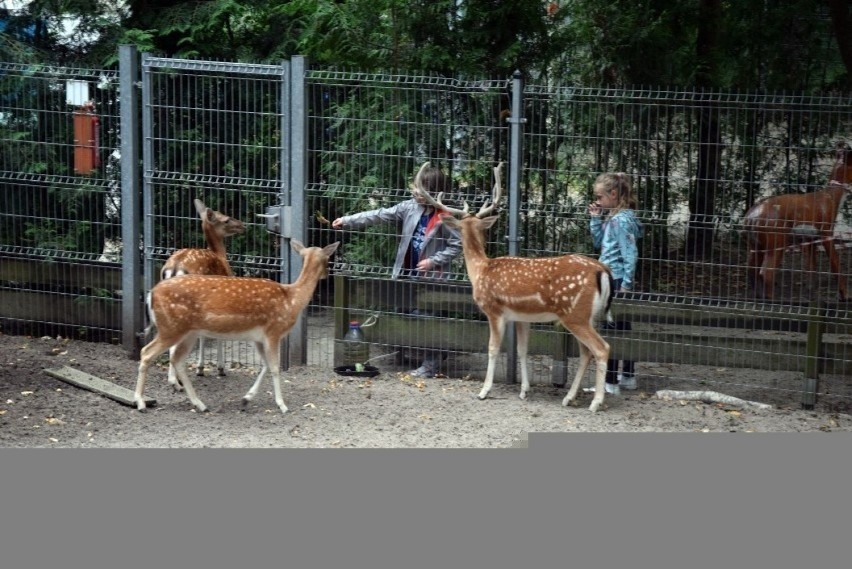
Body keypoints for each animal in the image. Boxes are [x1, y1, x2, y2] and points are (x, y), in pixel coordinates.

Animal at [133, 240, 340, 412]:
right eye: (328, 259)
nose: (326, 275)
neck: (292, 300)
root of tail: (151, 294)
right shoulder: (273, 331)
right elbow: (274, 367)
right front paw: (282, 405)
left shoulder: (259, 338)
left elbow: (265, 365)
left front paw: (246, 399)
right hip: (171, 328)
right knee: (147, 352)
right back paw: (141, 402)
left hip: (187, 332)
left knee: (176, 359)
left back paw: (199, 404)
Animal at [159, 197, 243, 384]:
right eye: (226, 219)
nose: (243, 225)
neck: (220, 256)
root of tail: (175, 268)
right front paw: (218, 369)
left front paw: (201, 368)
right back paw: (175, 379)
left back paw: (175, 378)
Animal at [412, 162, 612, 410]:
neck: (481, 269)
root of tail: (602, 271)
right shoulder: (521, 317)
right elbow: (522, 350)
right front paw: (524, 391)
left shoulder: (494, 310)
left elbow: (493, 348)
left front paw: (484, 391)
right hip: (589, 316)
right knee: (586, 352)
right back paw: (568, 398)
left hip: (575, 314)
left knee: (602, 348)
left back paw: (595, 402)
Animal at [744, 144, 852, 300]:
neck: (831, 197)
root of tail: (751, 217)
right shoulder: (826, 232)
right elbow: (836, 265)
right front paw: (846, 295)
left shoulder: (810, 238)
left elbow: (811, 268)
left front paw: (811, 295)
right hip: (776, 243)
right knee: (766, 272)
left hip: (755, 246)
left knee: (752, 270)